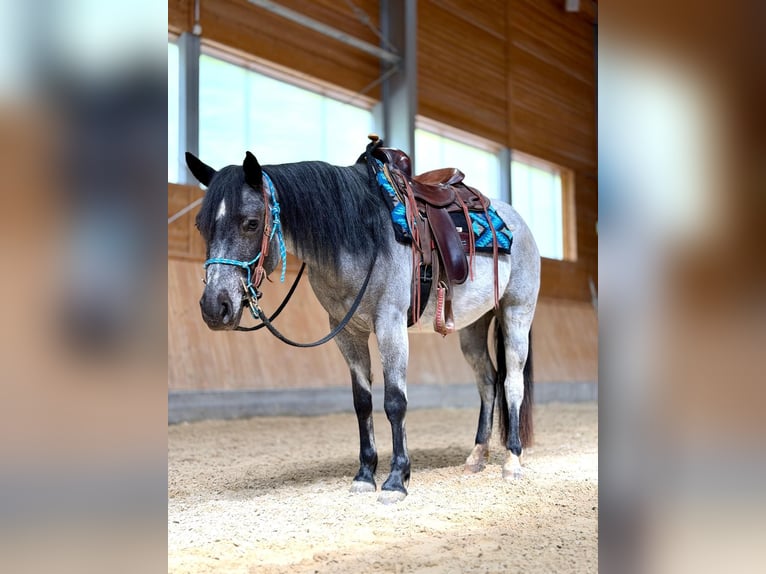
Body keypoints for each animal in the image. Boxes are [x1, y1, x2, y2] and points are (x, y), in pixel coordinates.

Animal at [185, 148, 540, 504]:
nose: (214, 307)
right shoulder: (347, 331)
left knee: (511, 383)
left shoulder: (390, 325)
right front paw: (365, 475)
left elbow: (395, 402)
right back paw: (477, 455)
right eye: (201, 226)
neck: (364, 235)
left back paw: (512, 461)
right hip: (473, 327)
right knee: (488, 382)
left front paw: (396, 480)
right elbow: (363, 403)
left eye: (251, 223)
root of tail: (518, 223)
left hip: (516, 314)